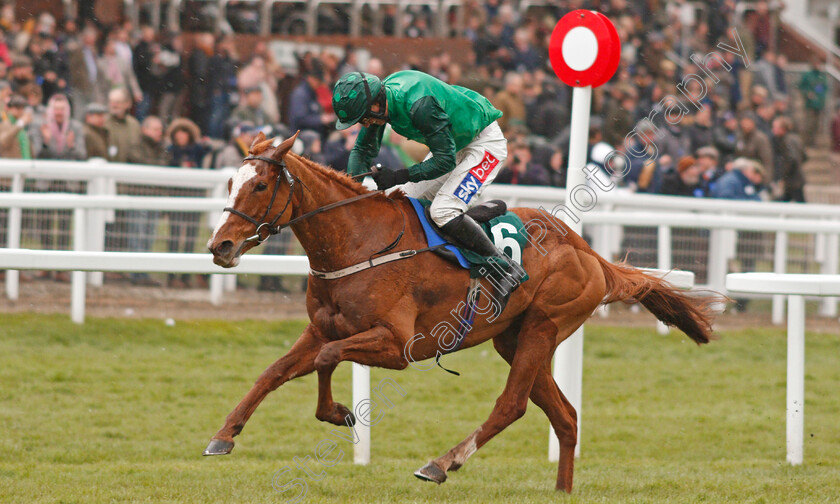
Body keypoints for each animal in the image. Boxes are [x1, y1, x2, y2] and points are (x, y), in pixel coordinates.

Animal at [203, 133, 720, 492]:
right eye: (230, 182)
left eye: (261, 185)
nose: (219, 246)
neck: (358, 241)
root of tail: (590, 253)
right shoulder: (320, 328)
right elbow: (273, 372)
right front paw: (224, 434)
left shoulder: (395, 345)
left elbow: (329, 358)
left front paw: (338, 413)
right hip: (514, 338)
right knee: (566, 416)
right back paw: (561, 490)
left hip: (544, 325)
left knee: (511, 405)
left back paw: (441, 463)